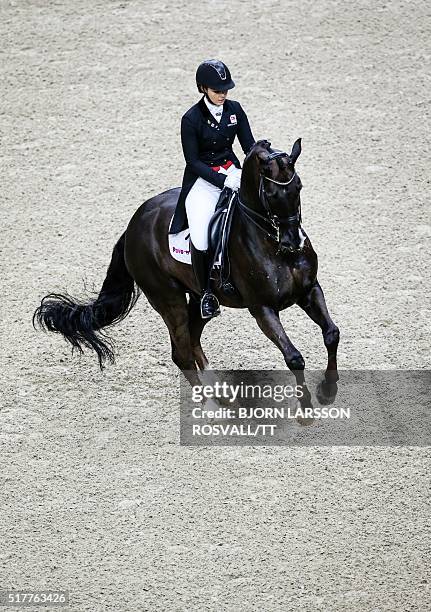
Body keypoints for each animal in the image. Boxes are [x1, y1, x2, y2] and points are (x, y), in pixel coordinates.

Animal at [33, 137, 340, 396]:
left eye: (298, 187)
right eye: (272, 194)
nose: (293, 242)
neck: (273, 246)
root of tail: (133, 225)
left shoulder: (309, 291)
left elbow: (332, 334)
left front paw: (328, 390)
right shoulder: (262, 308)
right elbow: (294, 357)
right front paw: (306, 411)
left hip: (199, 298)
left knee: (192, 341)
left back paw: (220, 393)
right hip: (169, 300)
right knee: (181, 353)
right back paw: (210, 405)